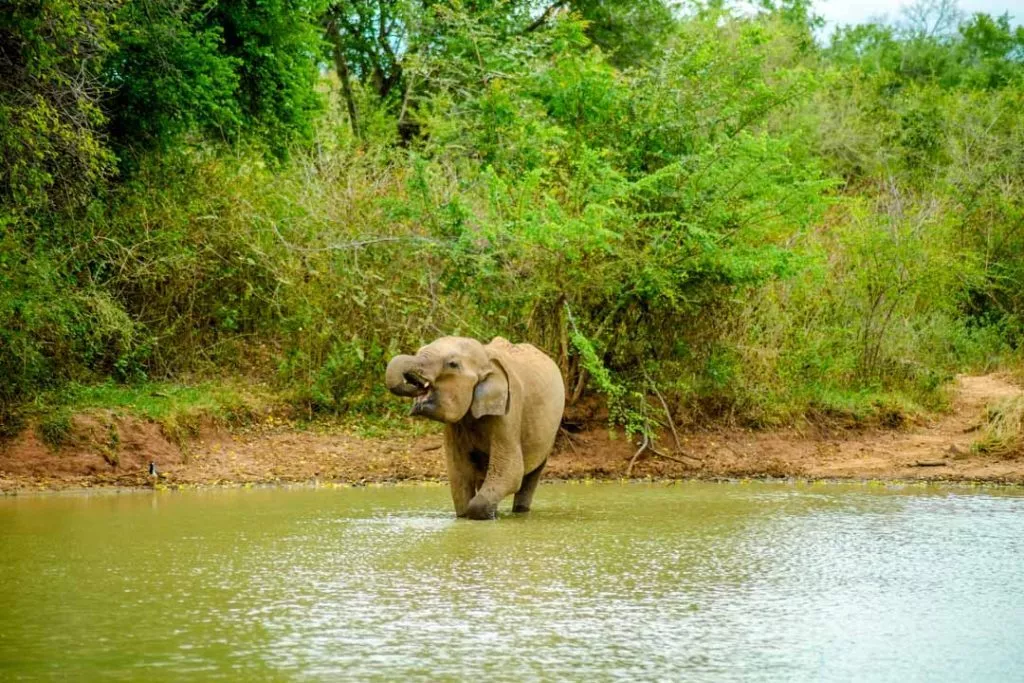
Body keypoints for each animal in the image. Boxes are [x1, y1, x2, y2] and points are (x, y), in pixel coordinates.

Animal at [385, 336, 565, 520]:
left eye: (452, 364)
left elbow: (511, 471)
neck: (486, 359)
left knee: (530, 477)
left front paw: (485, 516)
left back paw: (520, 512)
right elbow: (459, 473)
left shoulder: (509, 410)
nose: (415, 383)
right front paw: (469, 516)